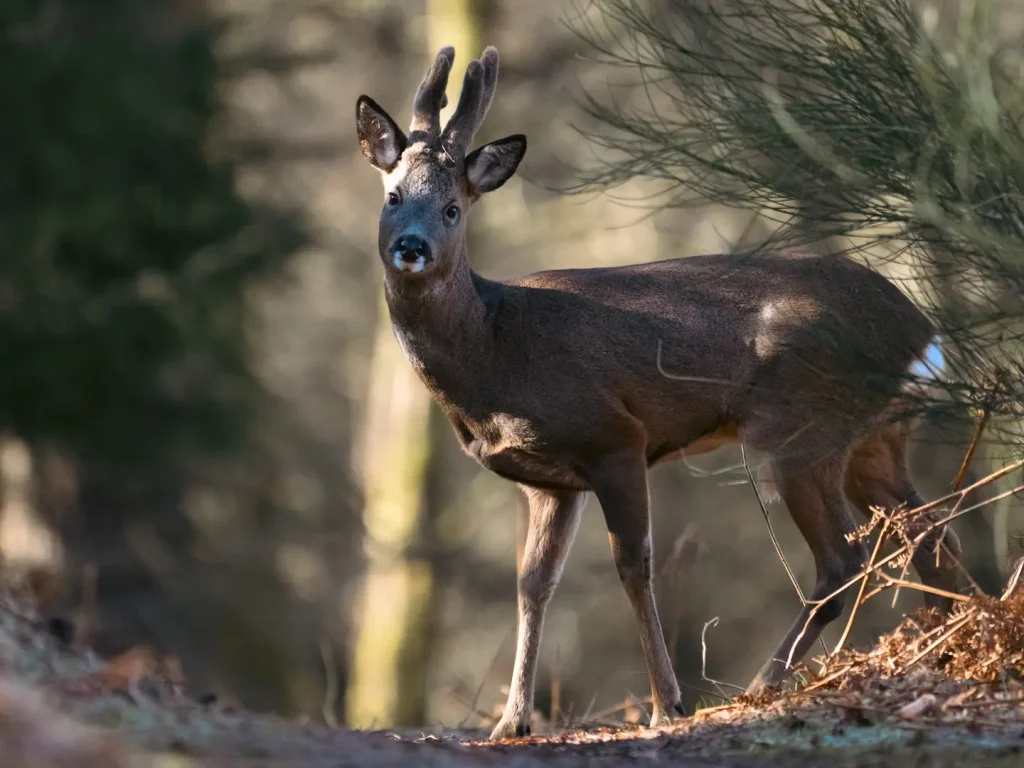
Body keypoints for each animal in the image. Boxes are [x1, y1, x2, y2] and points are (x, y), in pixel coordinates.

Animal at [354, 46, 963, 741]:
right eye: (393, 196)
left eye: (453, 208)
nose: (411, 246)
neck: (495, 350)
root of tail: (920, 330)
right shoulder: (550, 482)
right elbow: (533, 583)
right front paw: (510, 723)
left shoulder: (614, 437)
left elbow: (633, 565)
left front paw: (665, 703)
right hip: (872, 439)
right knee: (932, 537)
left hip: (797, 427)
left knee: (844, 557)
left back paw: (760, 687)